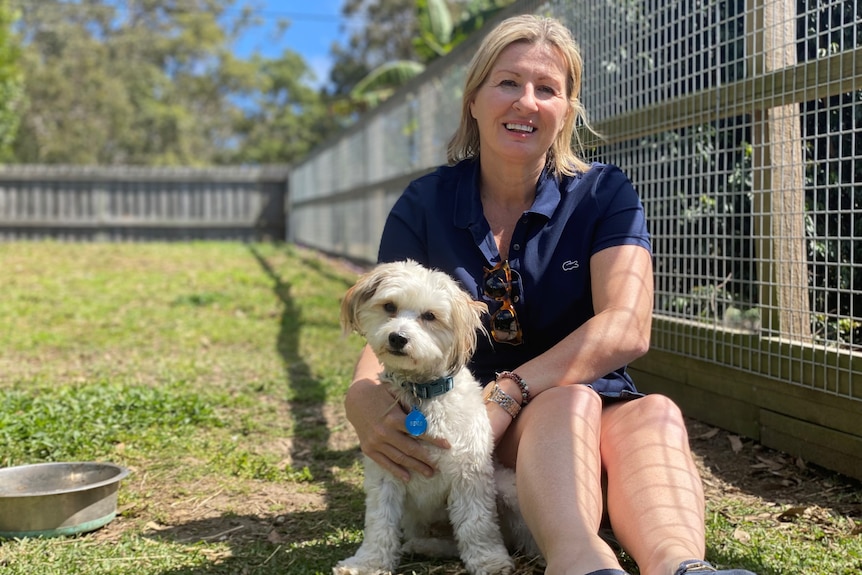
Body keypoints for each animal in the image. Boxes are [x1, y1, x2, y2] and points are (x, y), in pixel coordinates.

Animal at [334, 260, 516, 575]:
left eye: (430, 316)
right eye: (390, 307)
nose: (397, 337)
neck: (422, 392)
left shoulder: (470, 474)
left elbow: (477, 523)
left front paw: (489, 560)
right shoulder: (386, 472)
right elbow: (380, 522)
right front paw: (368, 563)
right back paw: (422, 546)